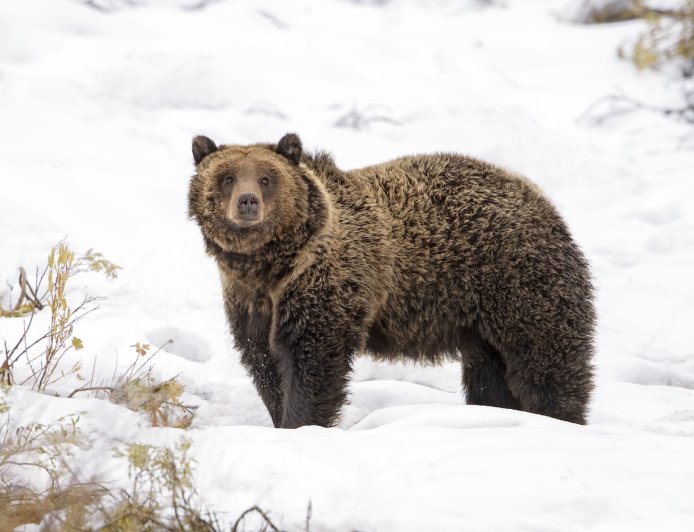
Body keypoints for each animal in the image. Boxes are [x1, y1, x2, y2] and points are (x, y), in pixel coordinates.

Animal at [188, 133, 595, 428]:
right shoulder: (251, 300)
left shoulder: (322, 286)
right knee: (490, 376)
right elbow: (264, 361)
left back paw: (559, 418)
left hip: (517, 279)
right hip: (480, 322)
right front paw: (280, 416)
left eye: (266, 178)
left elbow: (313, 362)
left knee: (545, 359)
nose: (247, 202)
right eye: (227, 177)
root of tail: (539, 197)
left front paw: (301, 423)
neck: (270, 266)